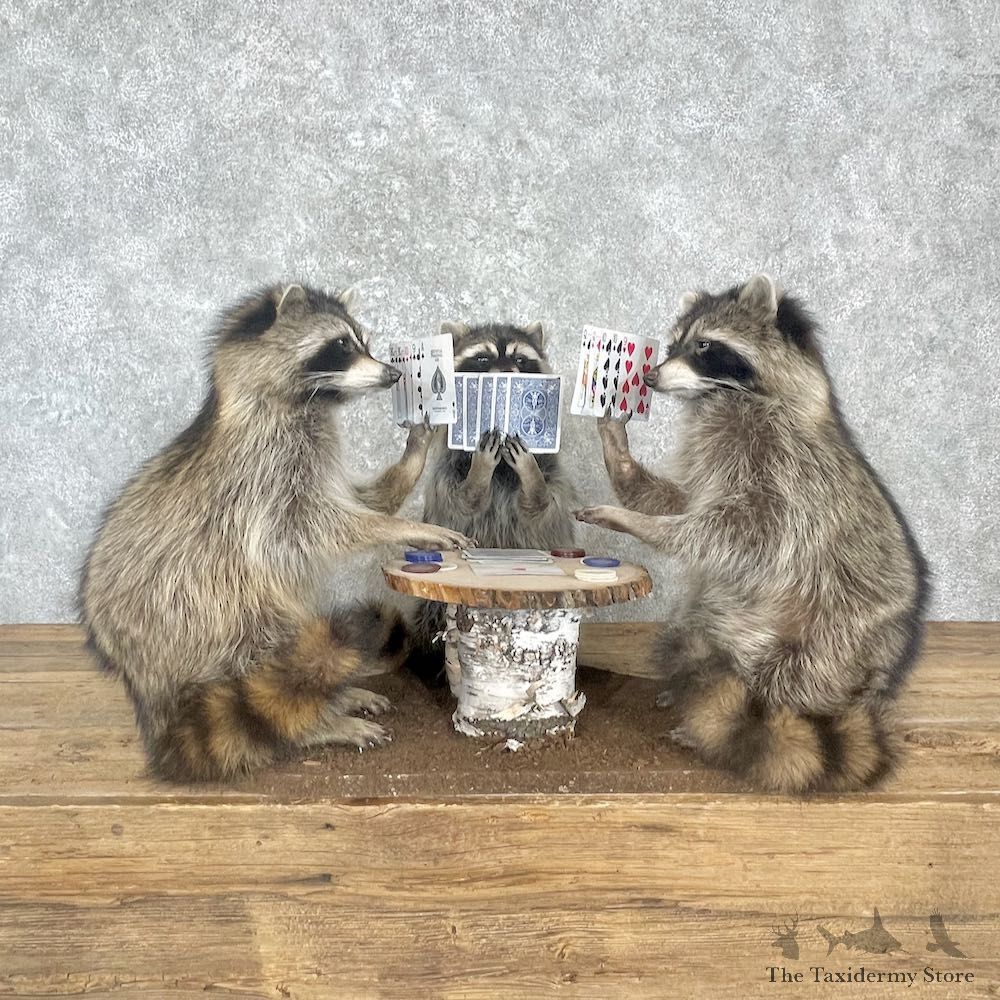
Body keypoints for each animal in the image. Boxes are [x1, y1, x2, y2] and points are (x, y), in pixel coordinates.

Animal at [79, 284, 472, 782]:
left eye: (363, 342)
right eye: (341, 345)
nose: (393, 373)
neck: (306, 401)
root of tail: (145, 689)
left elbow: (362, 498)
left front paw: (411, 461)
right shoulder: (261, 474)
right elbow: (313, 527)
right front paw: (402, 527)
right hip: (201, 614)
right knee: (269, 655)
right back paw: (317, 719)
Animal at [409, 321, 577, 683]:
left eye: (521, 359)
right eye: (483, 357)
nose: (507, 375)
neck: (501, 465)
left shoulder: (553, 477)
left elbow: (541, 508)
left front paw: (531, 478)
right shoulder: (448, 476)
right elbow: (463, 502)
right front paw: (478, 476)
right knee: (430, 611)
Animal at [576, 274, 928, 793]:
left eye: (705, 345)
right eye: (673, 344)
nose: (651, 378)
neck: (726, 396)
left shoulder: (788, 472)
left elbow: (742, 532)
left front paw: (651, 527)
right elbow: (687, 502)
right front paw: (622, 464)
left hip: (837, 631)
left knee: (792, 674)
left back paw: (755, 707)